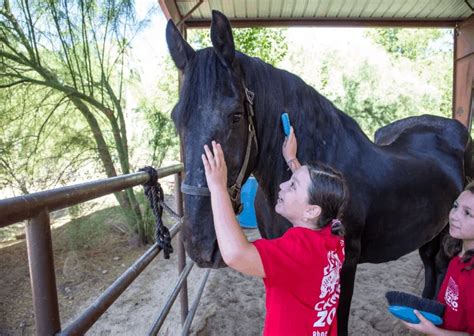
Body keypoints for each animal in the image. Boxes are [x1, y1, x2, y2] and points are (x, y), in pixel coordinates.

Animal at [166, 11, 470, 336]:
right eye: (176, 117)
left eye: (235, 115)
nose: (200, 245)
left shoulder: (346, 266)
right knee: (432, 267)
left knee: (439, 266)